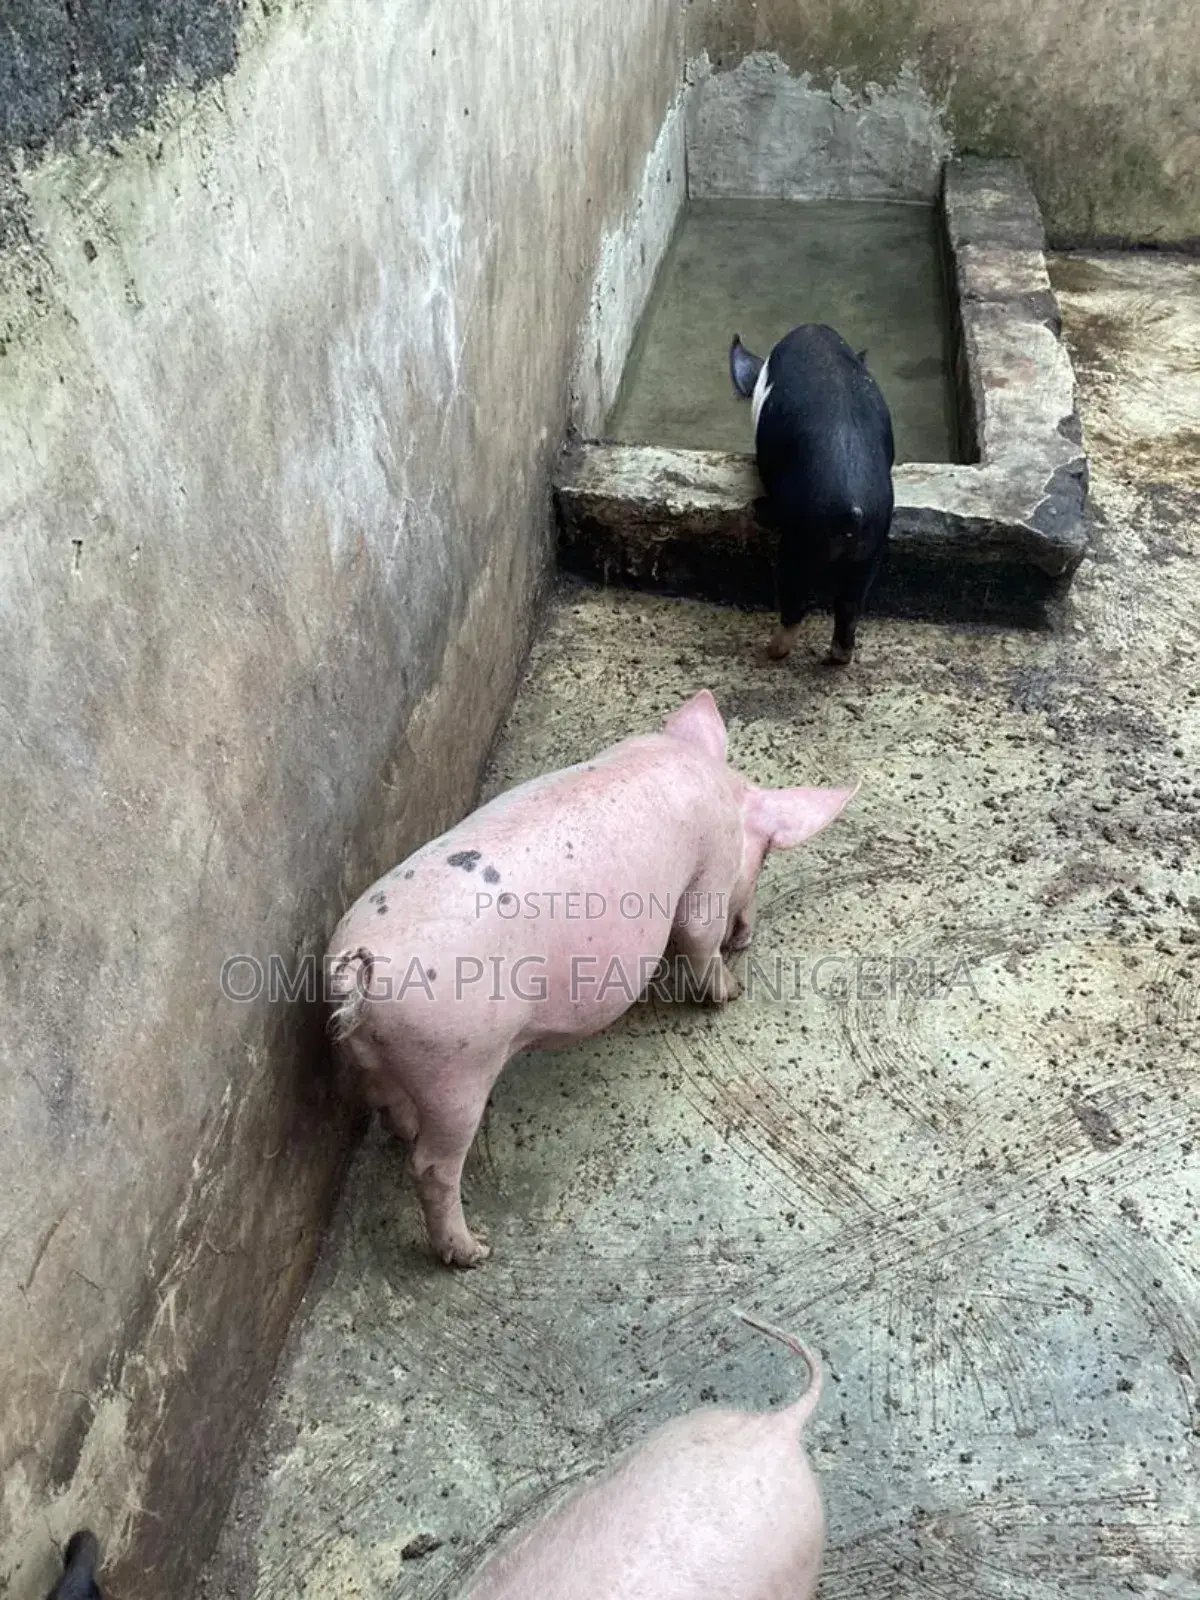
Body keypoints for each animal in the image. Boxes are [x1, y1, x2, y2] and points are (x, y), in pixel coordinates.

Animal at [325, 690, 856, 1266]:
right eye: (764, 858)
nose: (747, 938)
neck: (717, 789)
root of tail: (361, 970)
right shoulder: (708, 877)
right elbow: (698, 939)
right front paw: (730, 994)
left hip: (380, 1055)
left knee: (385, 1103)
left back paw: (406, 1137)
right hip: (456, 1068)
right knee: (432, 1165)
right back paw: (474, 1252)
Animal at [730, 323, 895, 666]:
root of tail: (854, 509)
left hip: (800, 541)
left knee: (795, 601)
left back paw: (771, 651)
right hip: (872, 548)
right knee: (849, 607)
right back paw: (837, 657)